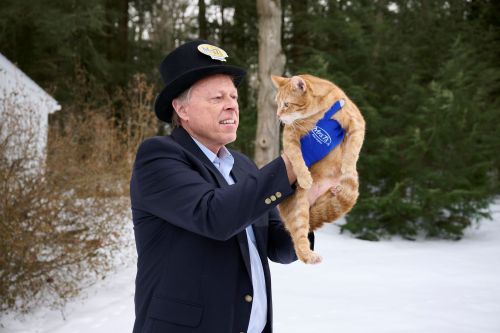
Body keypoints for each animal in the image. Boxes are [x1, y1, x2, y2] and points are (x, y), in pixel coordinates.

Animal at [272, 74, 366, 264]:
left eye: (286, 104)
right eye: (277, 103)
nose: (278, 115)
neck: (317, 113)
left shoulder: (356, 121)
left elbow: (353, 149)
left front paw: (348, 167)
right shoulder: (290, 135)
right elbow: (296, 157)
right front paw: (304, 177)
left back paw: (336, 189)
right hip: (299, 210)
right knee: (299, 238)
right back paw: (309, 256)